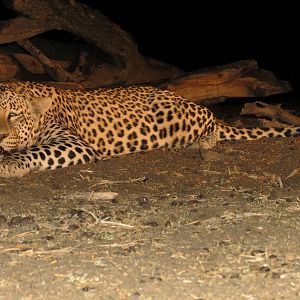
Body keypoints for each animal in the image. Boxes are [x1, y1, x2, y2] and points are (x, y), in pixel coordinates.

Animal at [0, 81, 298, 177]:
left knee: (211, 125)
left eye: (13, 115)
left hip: (176, 117)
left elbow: (35, 150)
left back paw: (200, 143)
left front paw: (10, 164)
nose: (0, 134)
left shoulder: (75, 143)